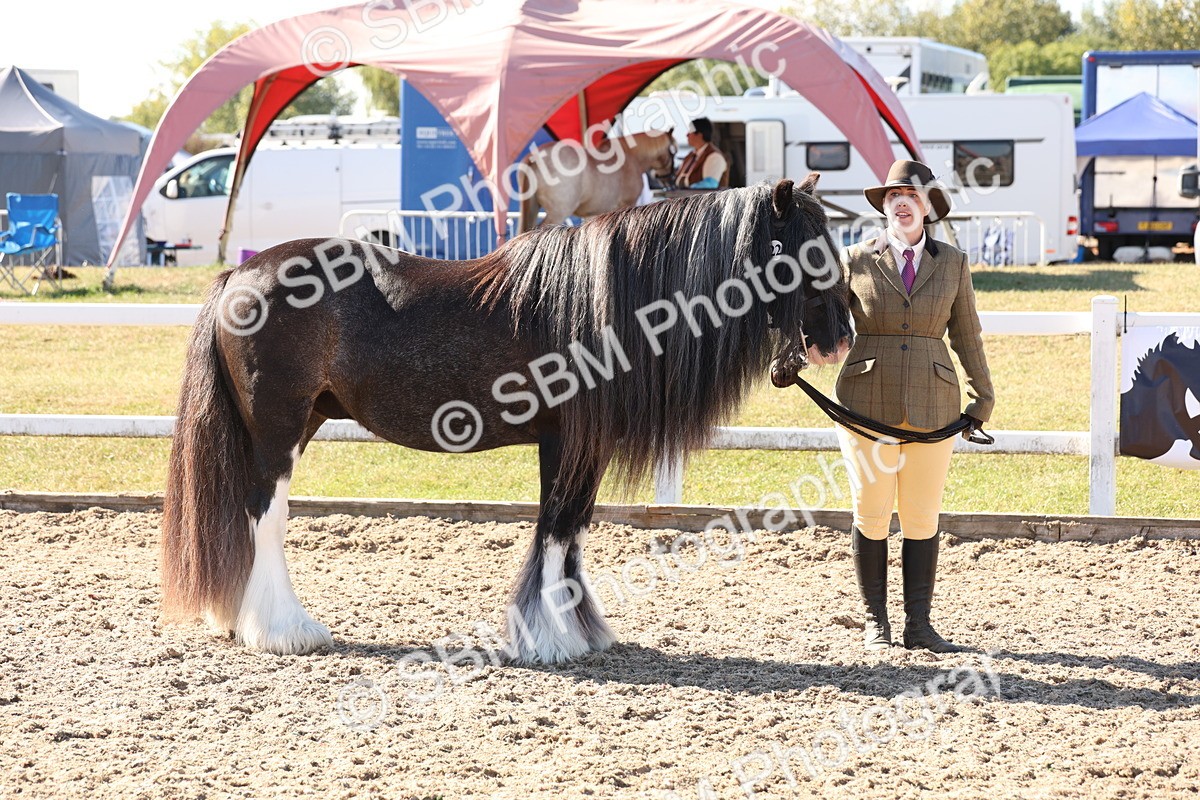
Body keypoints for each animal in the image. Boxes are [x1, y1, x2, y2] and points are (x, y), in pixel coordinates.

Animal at [160, 174, 852, 664]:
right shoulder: (564, 442)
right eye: (803, 250)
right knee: (266, 518)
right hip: (277, 432)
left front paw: (578, 631)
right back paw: (286, 630)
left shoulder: (588, 449)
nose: (840, 337)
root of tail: (238, 273)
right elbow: (555, 530)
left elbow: (572, 533)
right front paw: (549, 640)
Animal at [517, 129, 676, 233]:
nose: (671, 181)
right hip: (558, 213)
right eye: (672, 152)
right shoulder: (627, 204)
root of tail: (534, 158)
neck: (630, 157)